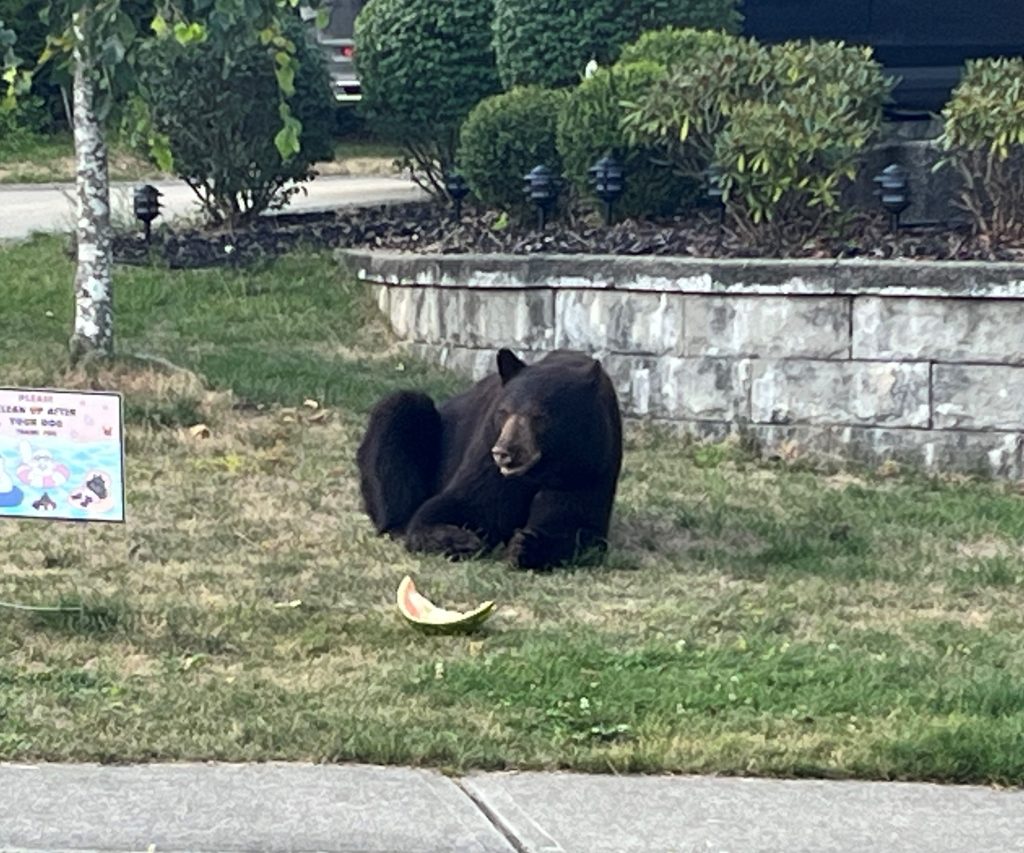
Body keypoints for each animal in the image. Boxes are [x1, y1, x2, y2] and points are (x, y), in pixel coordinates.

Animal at [356, 350, 626, 569]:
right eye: (503, 412)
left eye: (540, 417)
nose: (504, 452)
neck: (541, 470)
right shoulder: (487, 448)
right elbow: (468, 503)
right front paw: (459, 539)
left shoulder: (588, 463)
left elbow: (574, 520)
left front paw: (526, 545)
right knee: (401, 410)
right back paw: (398, 524)